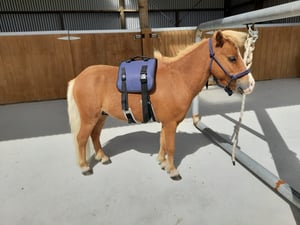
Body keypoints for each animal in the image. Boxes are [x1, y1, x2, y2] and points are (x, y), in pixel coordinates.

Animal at [67, 29, 255, 180]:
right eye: (232, 58)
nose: (249, 84)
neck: (178, 79)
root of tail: (78, 78)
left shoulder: (166, 123)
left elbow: (163, 143)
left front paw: (163, 163)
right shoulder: (171, 123)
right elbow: (170, 146)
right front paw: (173, 171)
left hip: (100, 116)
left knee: (95, 135)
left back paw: (103, 157)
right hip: (89, 118)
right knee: (81, 138)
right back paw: (85, 167)